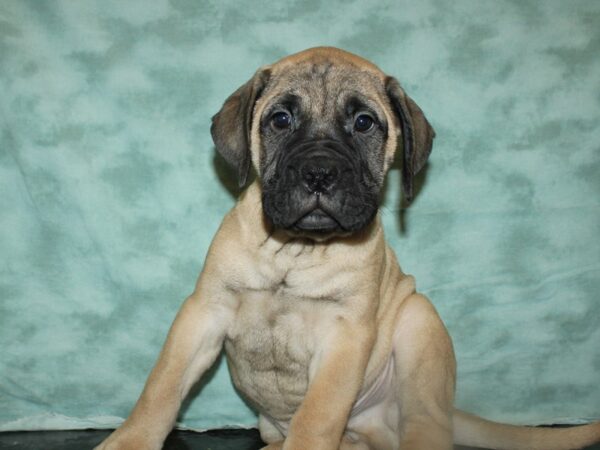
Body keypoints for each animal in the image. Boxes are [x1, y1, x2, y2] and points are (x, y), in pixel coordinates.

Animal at [95, 46, 600, 450]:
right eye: (280, 119)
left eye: (364, 123)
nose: (319, 173)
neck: (294, 251)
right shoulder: (204, 313)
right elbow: (161, 390)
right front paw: (128, 441)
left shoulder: (344, 336)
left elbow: (317, 417)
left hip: (420, 328)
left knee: (424, 431)